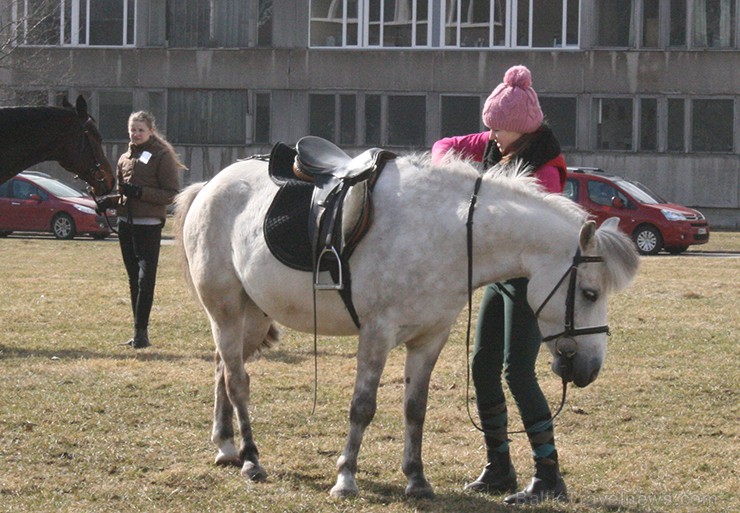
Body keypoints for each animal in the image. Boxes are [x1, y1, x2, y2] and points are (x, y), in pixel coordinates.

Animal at [176, 152, 640, 496]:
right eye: (590, 294)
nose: (590, 368)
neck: (445, 232)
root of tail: (210, 186)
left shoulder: (429, 339)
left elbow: (415, 408)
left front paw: (416, 479)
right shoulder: (377, 334)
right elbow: (363, 407)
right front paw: (346, 478)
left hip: (251, 317)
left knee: (223, 370)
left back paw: (227, 446)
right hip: (226, 311)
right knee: (237, 381)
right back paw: (251, 459)